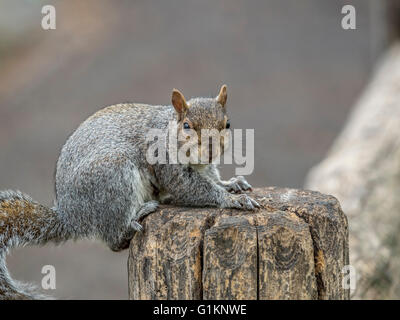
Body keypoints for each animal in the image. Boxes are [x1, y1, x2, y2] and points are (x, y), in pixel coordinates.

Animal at [0, 85, 260, 300]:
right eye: (187, 126)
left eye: (227, 124)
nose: (211, 150)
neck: (168, 131)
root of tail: (71, 215)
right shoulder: (167, 166)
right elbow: (193, 188)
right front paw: (232, 199)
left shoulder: (203, 167)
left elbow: (212, 178)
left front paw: (231, 184)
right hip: (114, 179)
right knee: (114, 239)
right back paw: (139, 215)